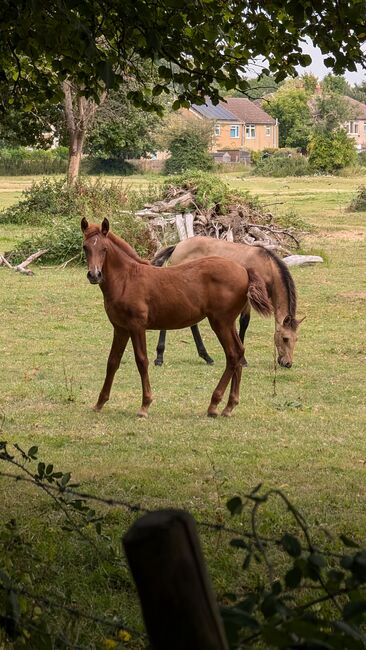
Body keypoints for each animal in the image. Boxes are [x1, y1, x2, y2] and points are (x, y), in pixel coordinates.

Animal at [82, 215, 272, 418]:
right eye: (85, 247)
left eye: (104, 248)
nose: (94, 274)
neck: (127, 279)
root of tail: (244, 270)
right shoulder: (120, 328)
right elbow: (112, 361)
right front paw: (99, 403)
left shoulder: (137, 326)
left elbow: (142, 361)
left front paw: (145, 405)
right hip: (228, 323)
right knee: (239, 351)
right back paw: (229, 406)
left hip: (221, 322)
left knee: (233, 355)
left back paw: (214, 405)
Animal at [152, 235, 304, 368]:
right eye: (285, 338)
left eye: (296, 339)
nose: (288, 363)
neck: (266, 266)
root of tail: (178, 246)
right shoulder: (248, 299)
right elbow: (244, 322)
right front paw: (243, 360)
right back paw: (160, 357)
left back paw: (206, 356)